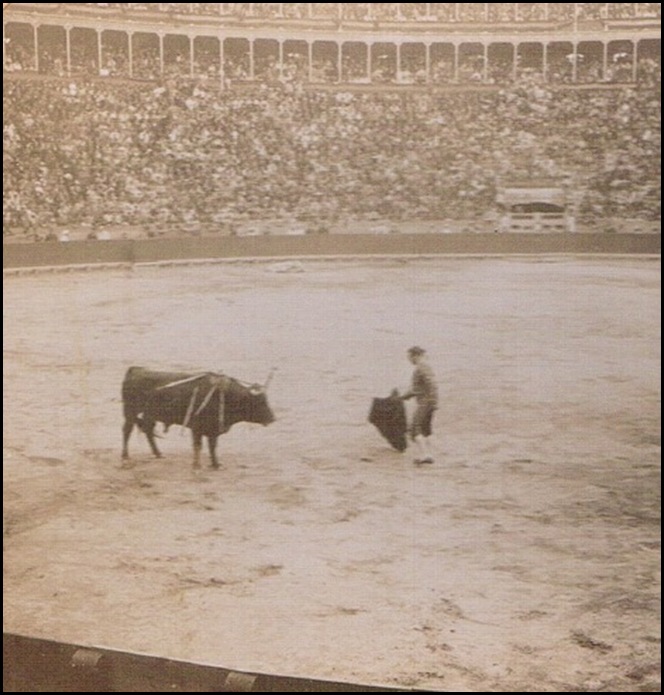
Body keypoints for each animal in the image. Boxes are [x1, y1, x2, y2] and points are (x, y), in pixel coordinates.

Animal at [120, 368, 274, 470]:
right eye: (259, 402)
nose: (273, 418)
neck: (224, 396)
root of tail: (136, 369)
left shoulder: (213, 430)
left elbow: (212, 446)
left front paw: (215, 464)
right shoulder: (196, 428)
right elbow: (198, 445)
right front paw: (196, 465)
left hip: (149, 415)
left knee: (148, 430)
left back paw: (158, 454)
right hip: (130, 412)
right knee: (127, 431)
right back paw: (125, 456)